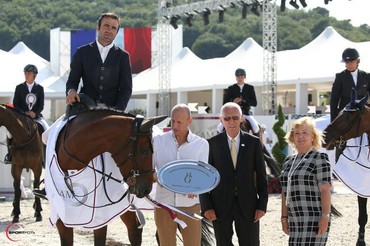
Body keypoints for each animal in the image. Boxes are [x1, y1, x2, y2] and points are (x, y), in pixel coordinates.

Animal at [322, 89, 368, 246]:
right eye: (340, 112)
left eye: (348, 117)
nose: (324, 137)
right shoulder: (361, 186)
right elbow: (363, 216)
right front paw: (360, 241)